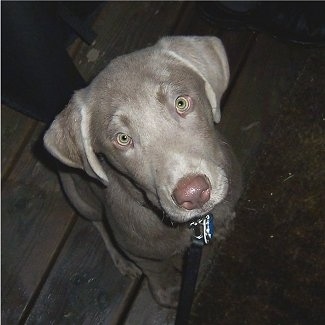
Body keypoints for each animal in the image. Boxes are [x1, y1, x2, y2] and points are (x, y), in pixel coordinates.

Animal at [43, 35, 240, 306]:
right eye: (123, 138)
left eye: (181, 102)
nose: (194, 193)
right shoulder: (139, 250)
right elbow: (157, 270)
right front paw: (170, 291)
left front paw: (223, 226)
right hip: (79, 197)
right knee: (99, 225)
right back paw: (122, 263)